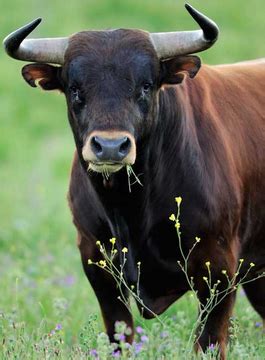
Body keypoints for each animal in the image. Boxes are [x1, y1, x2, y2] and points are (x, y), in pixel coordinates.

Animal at [4, 4, 264, 358]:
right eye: (75, 89)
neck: (130, 209)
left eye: (145, 85)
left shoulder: (219, 266)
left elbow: (209, 341)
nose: (111, 146)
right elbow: (120, 334)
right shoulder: (96, 261)